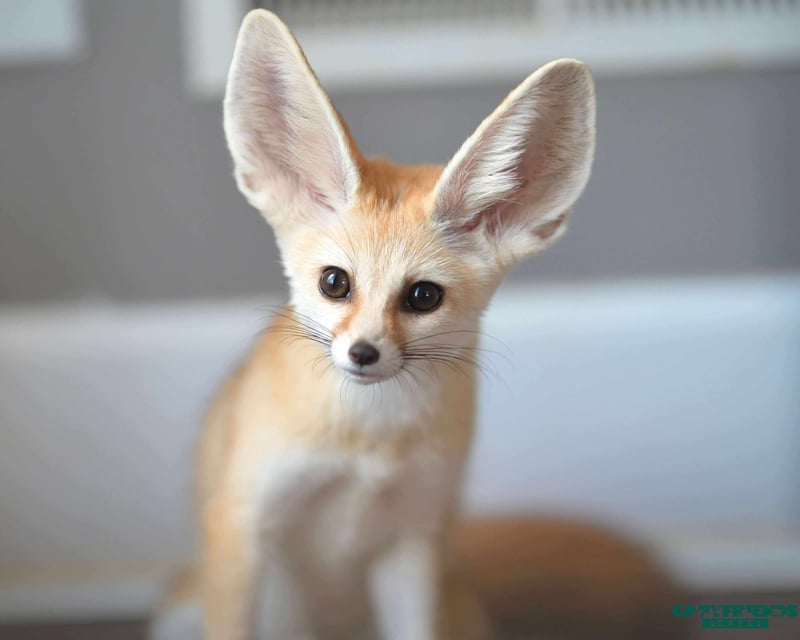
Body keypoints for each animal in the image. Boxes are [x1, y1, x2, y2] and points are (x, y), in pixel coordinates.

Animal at [151, 9, 686, 640]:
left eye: (423, 297)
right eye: (335, 283)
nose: (362, 353)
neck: (367, 444)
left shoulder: (411, 539)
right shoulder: (243, 523)